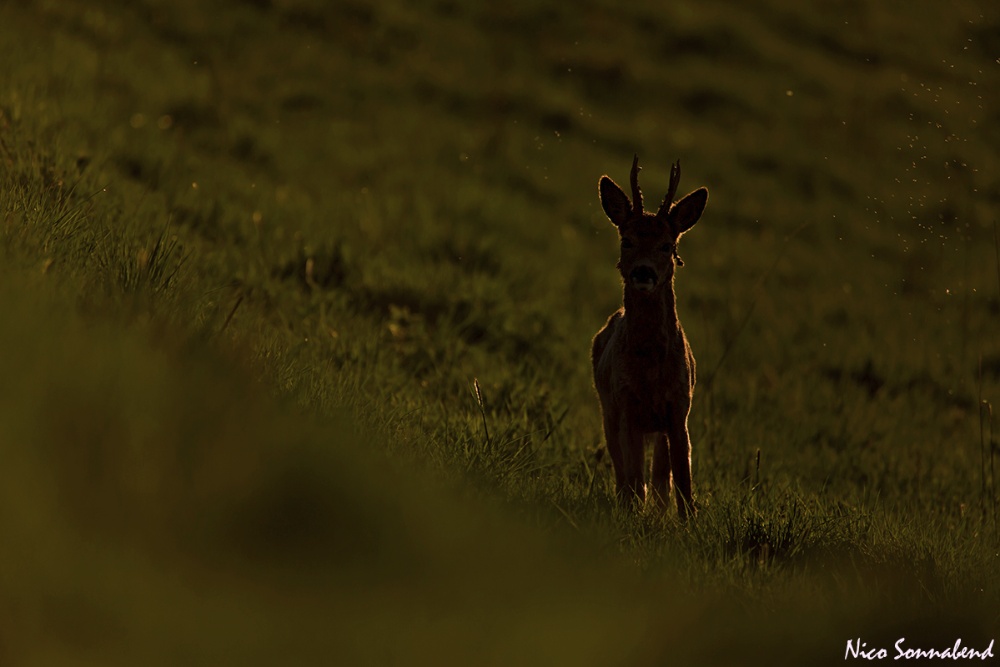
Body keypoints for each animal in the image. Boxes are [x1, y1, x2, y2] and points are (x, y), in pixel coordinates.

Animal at [588, 154, 708, 520]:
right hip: (608, 409)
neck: (651, 372)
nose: (644, 271)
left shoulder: (679, 407)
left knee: (659, 477)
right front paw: (633, 516)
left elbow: (681, 479)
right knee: (624, 472)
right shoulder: (626, 405)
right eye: (626, 240)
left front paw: (689, 522)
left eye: (667, 245)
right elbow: (633, 477)